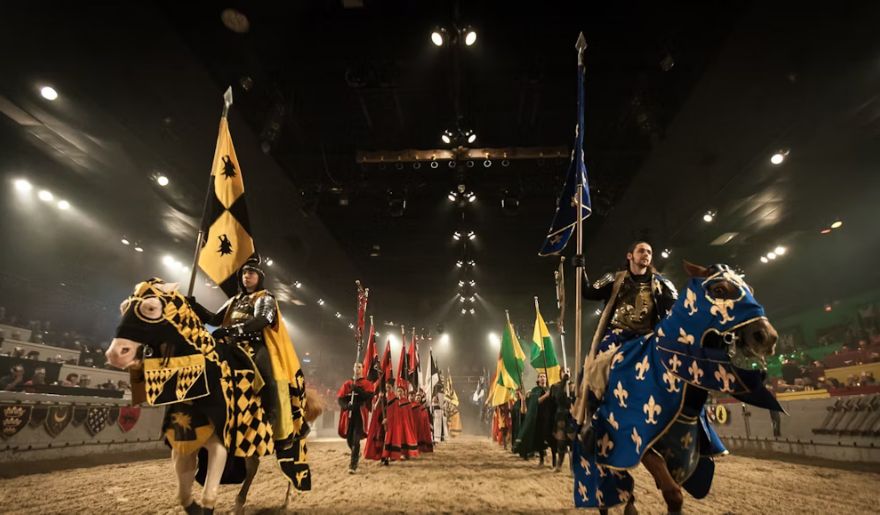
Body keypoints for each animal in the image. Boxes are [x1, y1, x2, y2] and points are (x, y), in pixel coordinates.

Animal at [572, 264, 784, 512]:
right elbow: (672, 493)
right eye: (719, 289)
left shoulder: (681, 454)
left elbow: (674, 495)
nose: (767, 337)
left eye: (750, 288)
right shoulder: (634, 442)